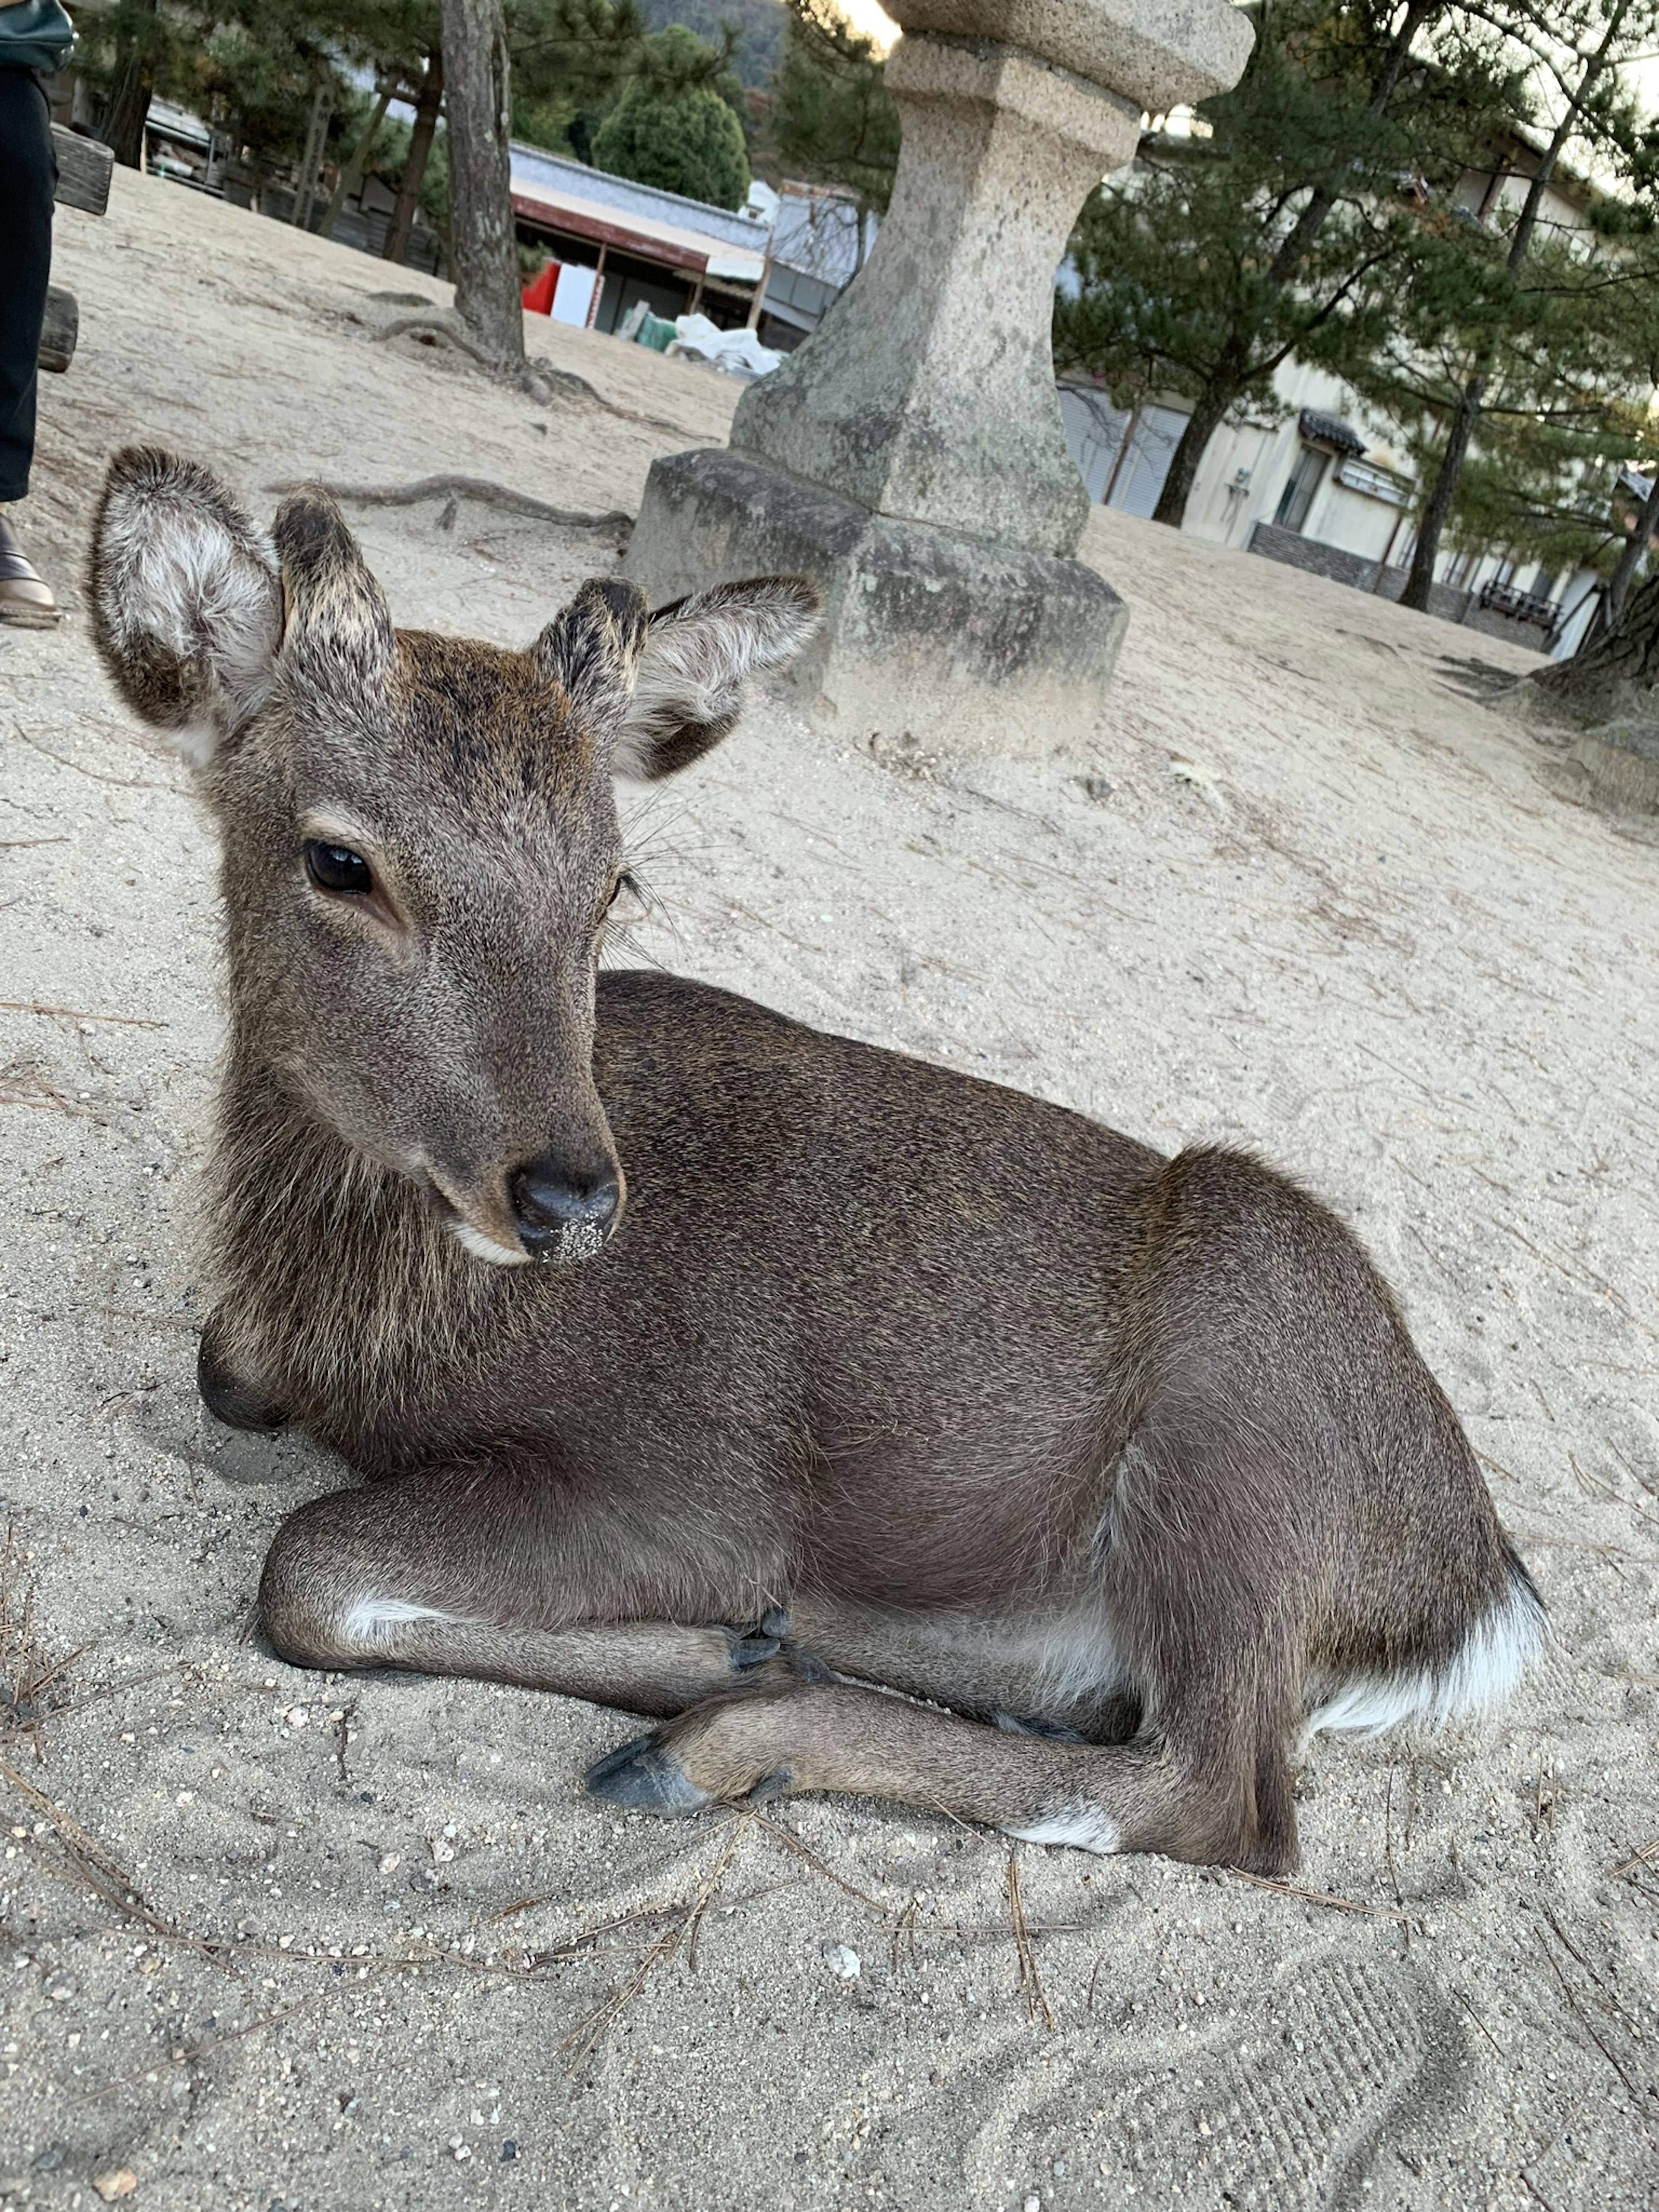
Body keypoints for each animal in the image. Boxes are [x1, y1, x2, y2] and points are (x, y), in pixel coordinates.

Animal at [84, 445, 1557, 1867]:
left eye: (614, 883)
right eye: (339, 859)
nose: (568, 1196)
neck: (376, 1328)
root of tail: (1473, 1595)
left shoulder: (697, 1476)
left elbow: (306, 1565)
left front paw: (715, 1658)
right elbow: (227, 1387)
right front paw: (738, 1646)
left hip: (1245, 1418)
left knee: (1225, 1799)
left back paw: (720, 1741)